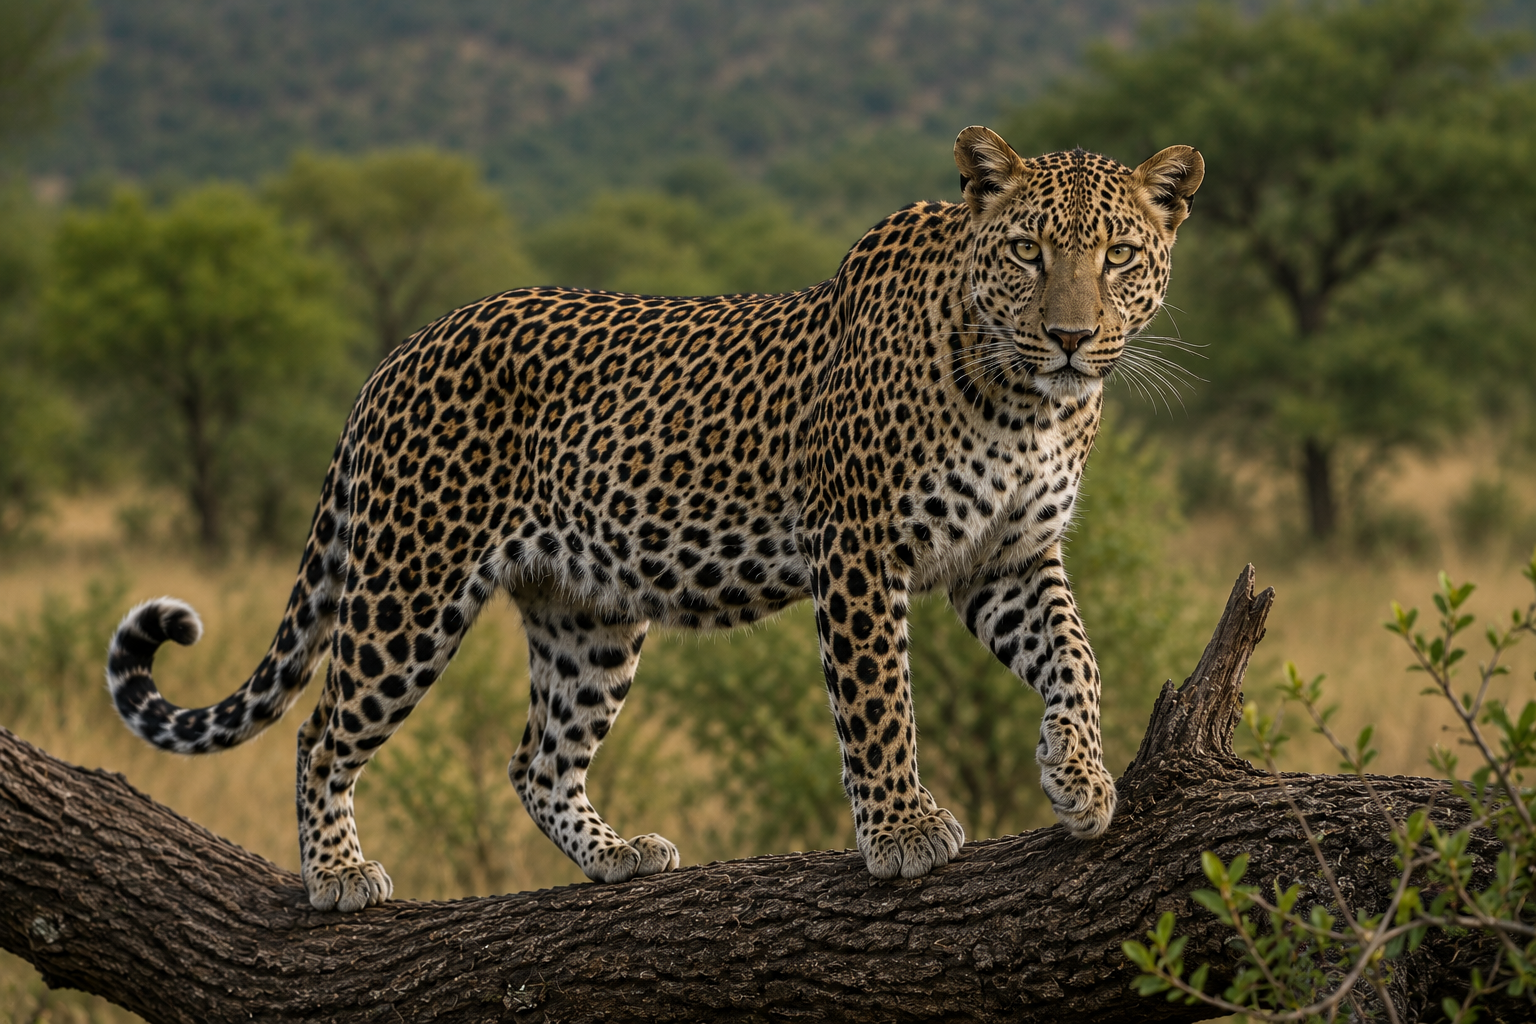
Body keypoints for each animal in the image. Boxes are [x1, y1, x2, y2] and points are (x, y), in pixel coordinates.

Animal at [105, 126, 1203, 912]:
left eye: (1118, 256)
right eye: (1026, 251)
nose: (1071, 336)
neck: (1029, 404)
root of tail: (398, 352)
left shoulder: (1009, 560)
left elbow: (1077, 655)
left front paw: (1079, 777)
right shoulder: (858, 546)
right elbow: (879, 701)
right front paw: (900, 831)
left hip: (587, 613)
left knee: (537, 757)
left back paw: (617, 857)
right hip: (409, 588)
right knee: (322, 731)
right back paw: (336, 873)